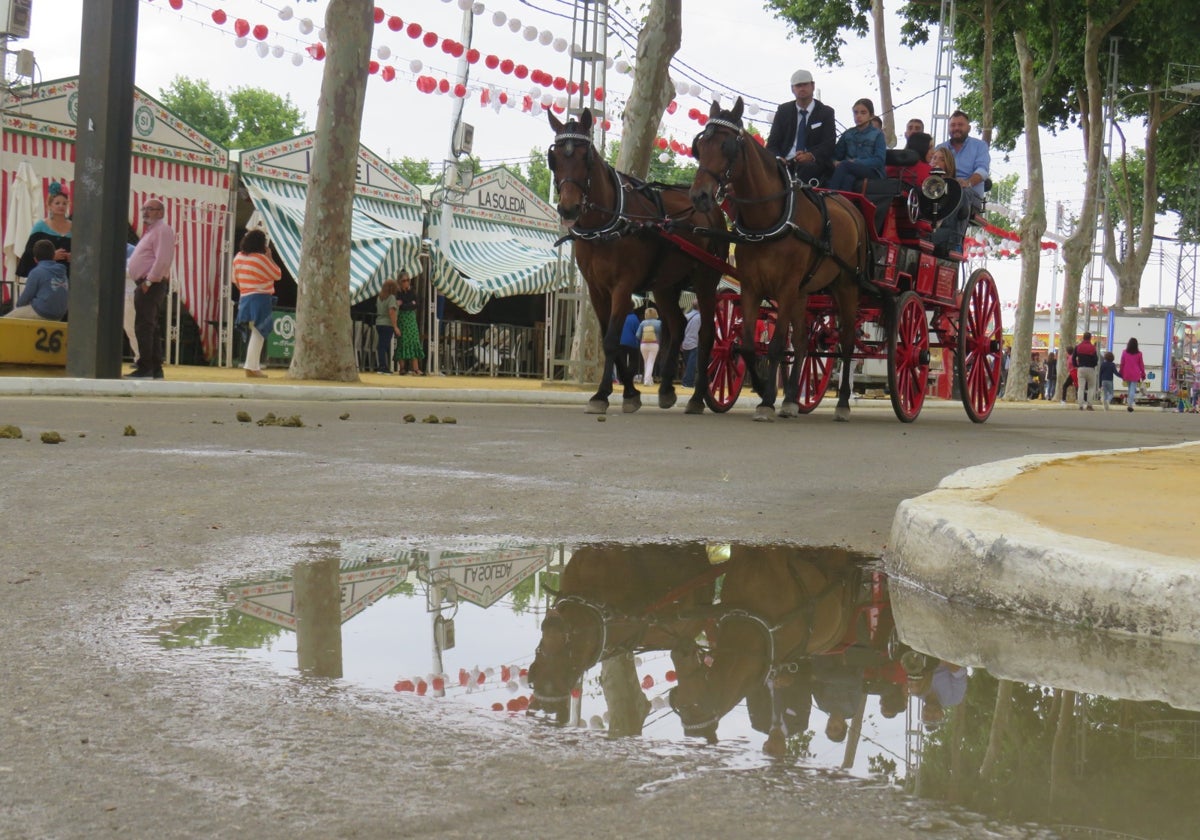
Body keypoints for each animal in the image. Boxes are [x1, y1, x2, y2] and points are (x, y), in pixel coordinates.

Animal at [549, 109, 724, 415]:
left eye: (585, 157)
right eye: (555, 157)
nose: (568, 208)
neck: (608, 223)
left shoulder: (623, 286)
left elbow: (611, 339)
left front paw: (604, 394)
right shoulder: (596, 289)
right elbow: (609, 337)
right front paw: (630, 393)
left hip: (706, 280)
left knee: (706, 334)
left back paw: (697, 397)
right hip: (665, 286)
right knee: (678, 325)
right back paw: (666, 390)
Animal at [691, 99, 868, 422]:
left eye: (726, 146)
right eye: (700, 145)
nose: (699, 196)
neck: (769, 220)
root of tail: (851, 207)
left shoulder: (785, 288)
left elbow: (774, 346)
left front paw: (765, 402)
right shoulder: (751, 287)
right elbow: (749, 345)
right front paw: (767, 391)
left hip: (846, 285)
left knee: (847, 341)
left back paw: (842, 404)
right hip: (804, 292)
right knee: (802, 343)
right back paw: (792, 400)